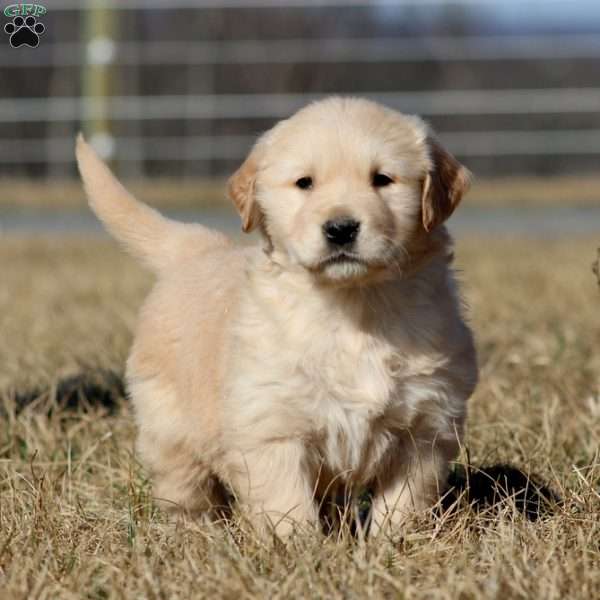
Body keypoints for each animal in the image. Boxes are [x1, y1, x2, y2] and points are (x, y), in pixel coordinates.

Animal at [76, 96, 478, 536]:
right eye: (305, 183)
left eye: (382, 179)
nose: (341, 228)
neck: (354, 306)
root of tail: (198, 246)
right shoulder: (271, 428)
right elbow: (288, 505)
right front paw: (299, 549)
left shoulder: (425, 427)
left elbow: (404, 503)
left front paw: (393, 543)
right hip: (170, 431)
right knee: (186, 490)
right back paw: (201, 535)